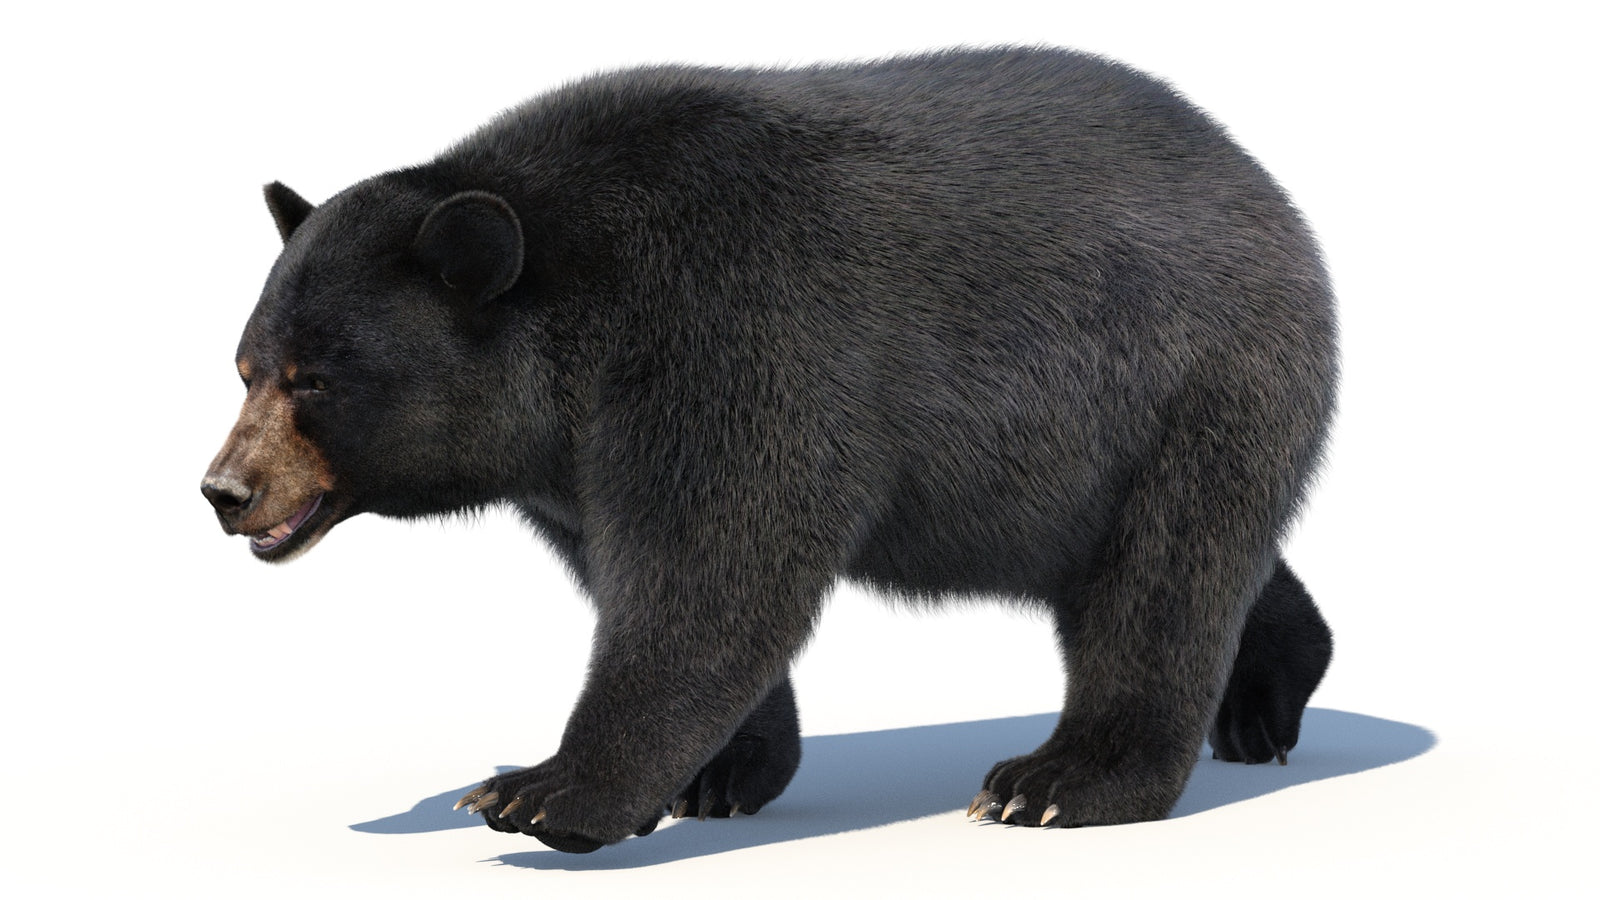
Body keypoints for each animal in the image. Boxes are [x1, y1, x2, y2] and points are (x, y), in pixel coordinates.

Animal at [202, 47, 1336, 854]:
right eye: (246, 366)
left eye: (315, 380)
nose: (225, 490)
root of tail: (1263, 184)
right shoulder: (568, 465)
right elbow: (647, 574)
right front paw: (716, 774)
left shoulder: (732, 336)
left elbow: (712, 569)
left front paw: (541, 790)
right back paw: (1266, 701)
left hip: (1190, 382)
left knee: (1163, 574)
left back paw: (1060, 782)